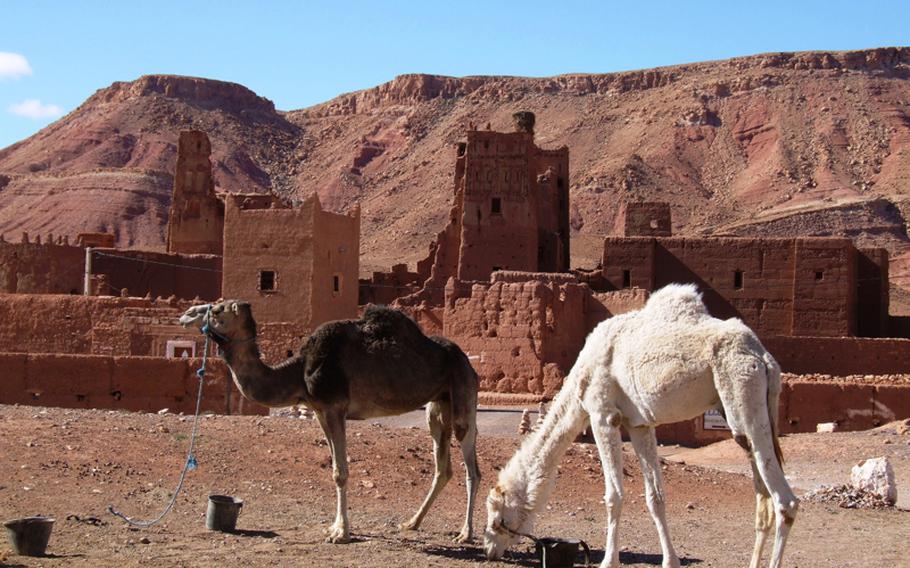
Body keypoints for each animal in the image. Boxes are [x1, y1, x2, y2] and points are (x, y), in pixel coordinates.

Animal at [176, 300, 484, 544]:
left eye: (217, 309)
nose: (186, 314)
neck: (298, 372)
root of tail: (467, 362)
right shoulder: (320, 411)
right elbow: (335, 468)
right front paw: (334, 527)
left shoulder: (335, 407)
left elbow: (341, 472)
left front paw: (341, 533)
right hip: (437, 404)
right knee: (443, 467)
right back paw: (412, 522)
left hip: (463, 393)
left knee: (472, 467)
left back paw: (465, 533)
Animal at [484, 284, 800, 568]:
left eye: (497, 516)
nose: (489, 550)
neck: (580, 379)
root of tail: (765, 359)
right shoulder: (639, 425)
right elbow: (655, 497)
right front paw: (670, 561)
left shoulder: (602, 416)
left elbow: (614, 496)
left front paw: (608, 561)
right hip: (742, 411)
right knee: (763, 500)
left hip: (742, 391)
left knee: (785, 502)